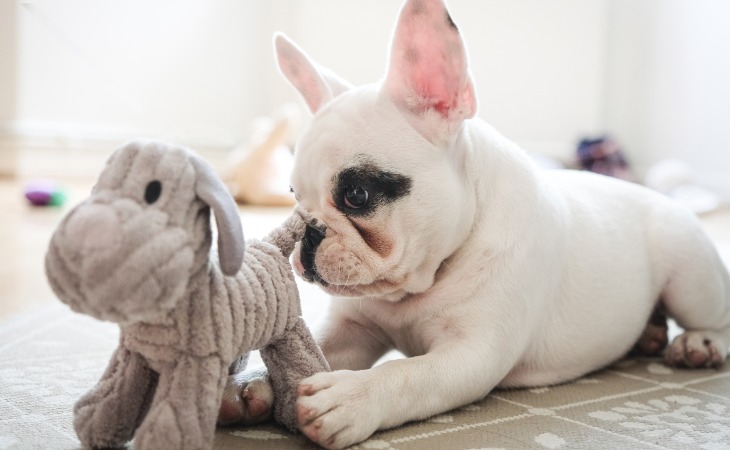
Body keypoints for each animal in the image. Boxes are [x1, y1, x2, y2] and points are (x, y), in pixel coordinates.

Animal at [219, 0, 728, 446]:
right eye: (293, 197)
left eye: (356, 195)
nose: (308, 232)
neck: (426, 277)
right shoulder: (354, 327)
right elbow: (320, 347)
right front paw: (254, 384)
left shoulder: (471, 355)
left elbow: (406, 374)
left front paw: (349, 397)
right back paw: (651, 333)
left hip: (689, 275)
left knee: (712, 315)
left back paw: (697, 342)